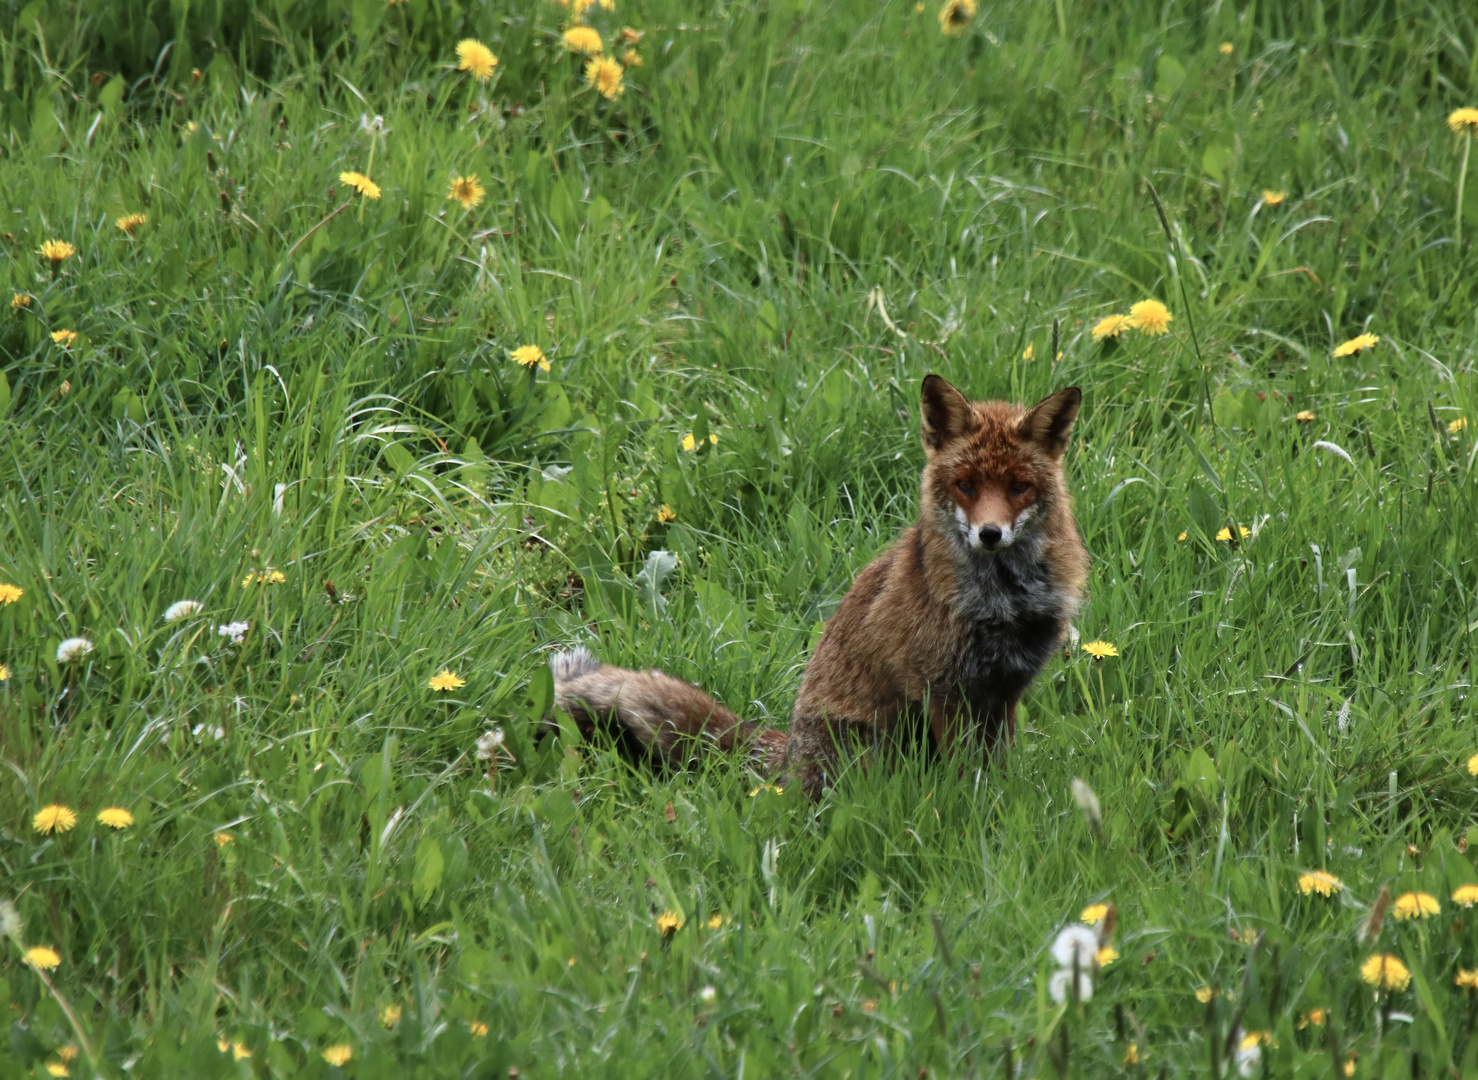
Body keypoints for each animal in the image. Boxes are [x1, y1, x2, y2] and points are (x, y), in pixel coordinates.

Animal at [546, 375, 1087, 797]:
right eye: (967, 486)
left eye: (1018, 487)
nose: (989, 534)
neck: (1004, 601)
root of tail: (787, 753)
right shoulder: (944, 689)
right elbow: (965, 775)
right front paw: (971, 811)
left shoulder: (1006, 689)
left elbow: (999, 767)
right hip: (872, 746)